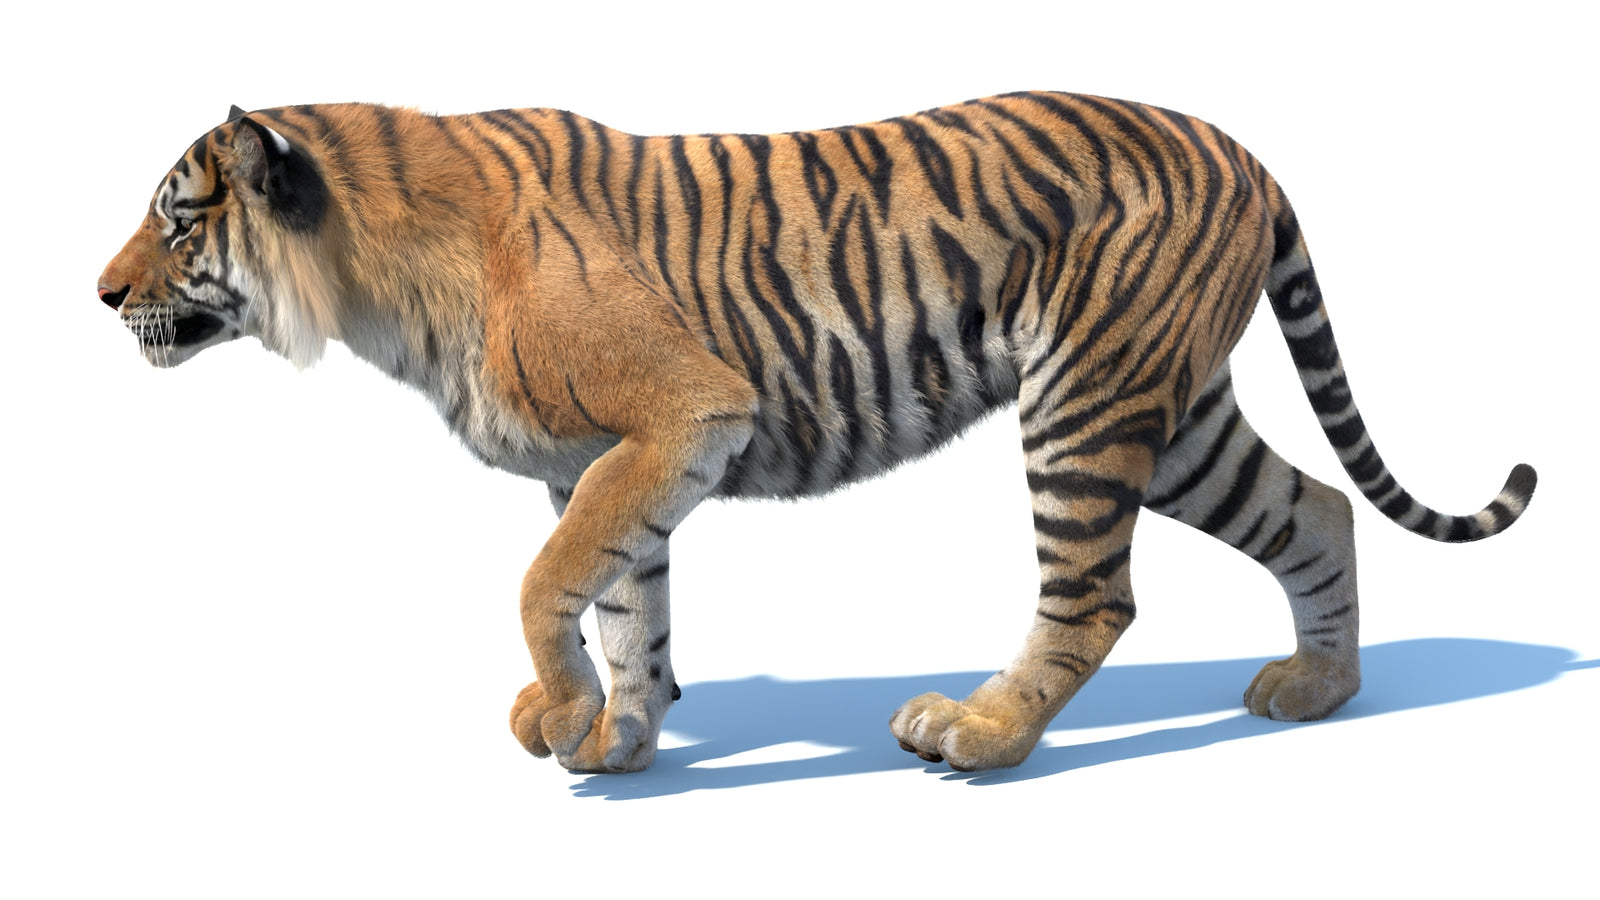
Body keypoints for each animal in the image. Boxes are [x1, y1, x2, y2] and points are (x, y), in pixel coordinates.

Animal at [97, 93, 1536, 774]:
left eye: (177, 218)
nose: (100, 295)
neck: (373, 281)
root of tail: (1250, 154)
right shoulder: (617, 459)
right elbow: (626, 600)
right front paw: (620, 740)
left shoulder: (678, 414)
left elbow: (547, 584)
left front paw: (560, 715)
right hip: (1172, 413)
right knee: (1317, 507)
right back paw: (1318, 690)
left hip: (1086, 400)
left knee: (1094, 597)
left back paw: (979, 734)